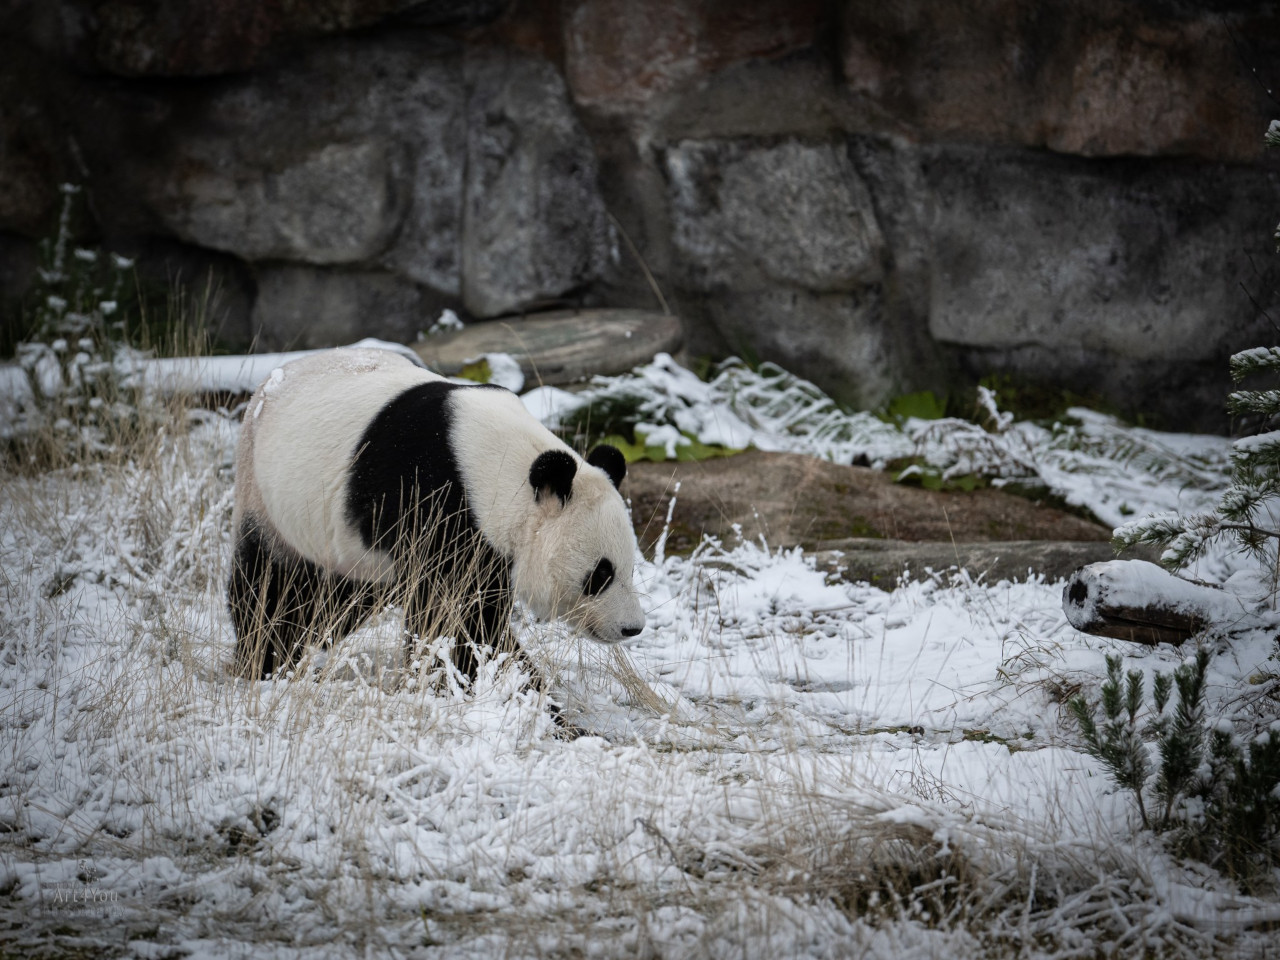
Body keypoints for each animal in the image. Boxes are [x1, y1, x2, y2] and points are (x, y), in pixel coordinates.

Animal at [227, 347, 645, 683]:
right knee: (272, 585)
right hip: (267, 496)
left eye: (630, 567)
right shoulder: (433, 505)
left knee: (338, 597)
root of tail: (271, 379)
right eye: (601, 574)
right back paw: (263, 662)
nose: (632, 628)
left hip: (350, 548)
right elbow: (458, 619)